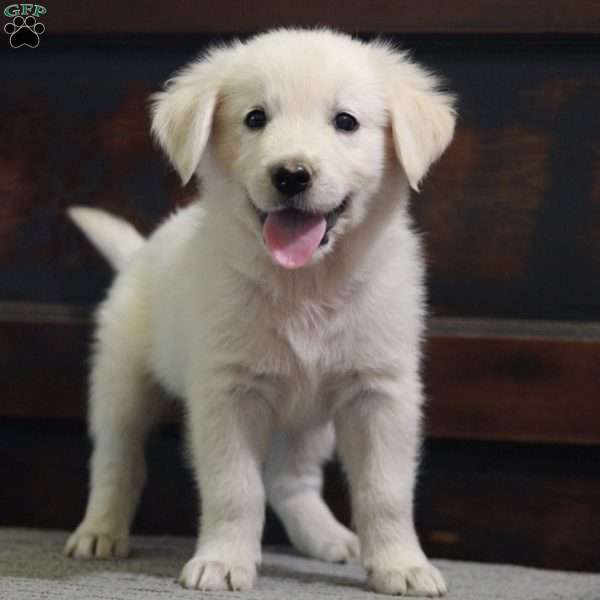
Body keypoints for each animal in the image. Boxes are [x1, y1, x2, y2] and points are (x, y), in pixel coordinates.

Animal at [64, 27, 454, 596]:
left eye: (346, 121)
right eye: (255, 118)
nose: (291, 175)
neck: (305, 285)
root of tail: (139, 252)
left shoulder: (380, 392)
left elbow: (386, 491)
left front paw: (401, 564)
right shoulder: (228, 393)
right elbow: (235, 488)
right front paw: (223, 560)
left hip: (309, 421)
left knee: (290, 480)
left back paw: (326, 537)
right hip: (121, 382)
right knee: (117, 460)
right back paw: (99, 532)